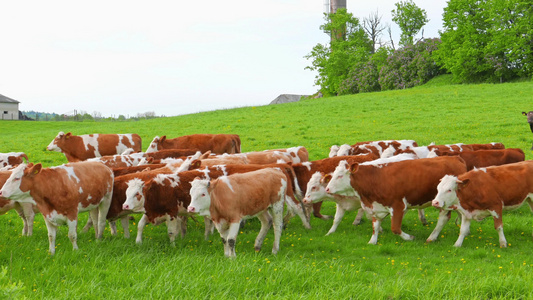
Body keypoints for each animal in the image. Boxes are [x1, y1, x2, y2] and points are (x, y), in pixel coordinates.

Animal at [324, 156, 466, 245]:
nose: (327, 188)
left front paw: (409, 237)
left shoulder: (398, 206)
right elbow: (375, 225)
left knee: (443, 218)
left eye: (340, 176)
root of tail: (455, 158)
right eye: (333, 174)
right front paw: (372, 241)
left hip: (443, 201)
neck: (375, 178)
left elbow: (395, 228)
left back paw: (431, 237)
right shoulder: (376, 207)